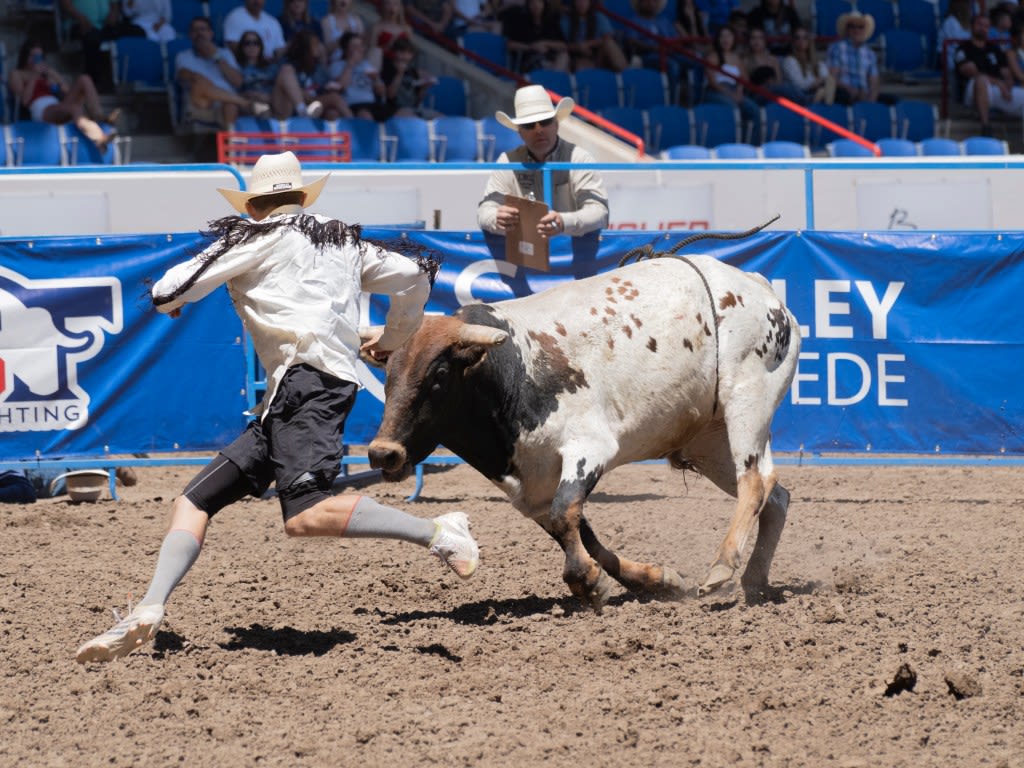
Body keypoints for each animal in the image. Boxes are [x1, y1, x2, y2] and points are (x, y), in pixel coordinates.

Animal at [366, 259, 798, 614]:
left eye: (438, 375)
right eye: (388, 375)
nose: (383, 454)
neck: (513, 370)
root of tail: (758, 287)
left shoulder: (588, 448)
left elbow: (566, 513)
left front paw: (587, 583)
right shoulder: (532, 488)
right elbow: (575, 530)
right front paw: (655, 580)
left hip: (746, 402)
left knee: (755, 483)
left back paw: (723, 566)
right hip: (709, 442)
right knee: (776, 498)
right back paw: (755, 581)